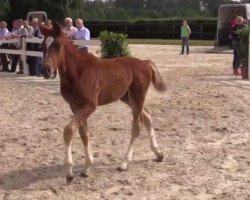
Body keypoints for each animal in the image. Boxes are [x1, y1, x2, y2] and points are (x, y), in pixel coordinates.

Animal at [40, 22, 166, 183]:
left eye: (57, 45)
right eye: (42, 45)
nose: (46, 71)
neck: (78, 72)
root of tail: (145, 63)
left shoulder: (90, 106)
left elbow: (69, 130)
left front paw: (69, 172)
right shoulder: (75, 107)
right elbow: (84, 134)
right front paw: (87, 168)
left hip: (138, 96)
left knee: (136, 127)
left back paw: (124, 163)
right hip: (128, 98)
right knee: (148, 116)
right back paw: (158, 153)